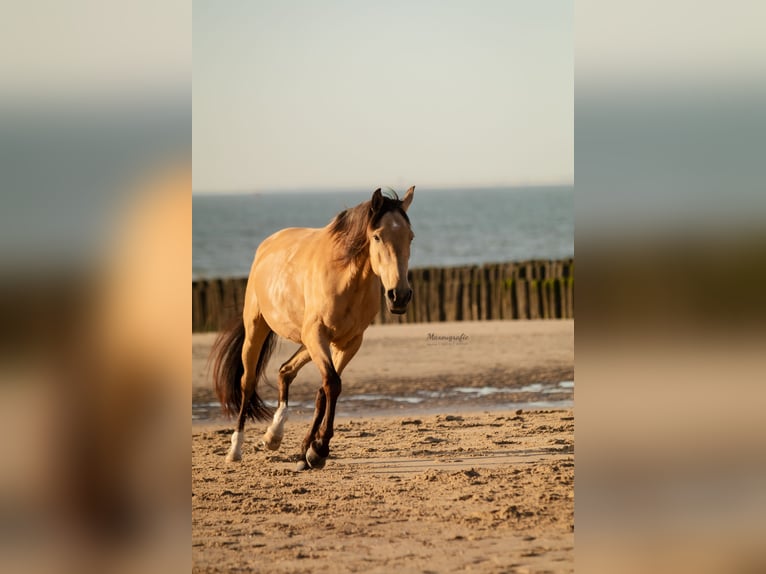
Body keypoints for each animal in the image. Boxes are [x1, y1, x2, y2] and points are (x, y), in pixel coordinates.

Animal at [210, 187, 416, 470]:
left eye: (410, 237)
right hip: (258, 329)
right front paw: (318, 449)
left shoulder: (349, 342)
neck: (345, 277)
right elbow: (332, 383)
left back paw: (274, 435)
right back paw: (235, 448)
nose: (400, 296)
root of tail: (267, 245)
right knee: (248, 383)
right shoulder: (317, 334)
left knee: (285, 370)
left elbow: (325, 389)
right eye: (377, 236)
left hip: (309, 341)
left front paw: (310, 450)